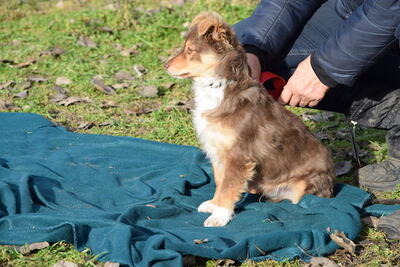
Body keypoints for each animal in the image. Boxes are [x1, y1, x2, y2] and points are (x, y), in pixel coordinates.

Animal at [163, 11, 334, 227]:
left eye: (190, 50)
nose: (164, 65)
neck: (218, 87)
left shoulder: (238, 156)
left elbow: (228, 186)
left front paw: (220, 215)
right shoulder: (218, 150)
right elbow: (220, 182)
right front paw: (214, 205)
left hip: (306, 184)